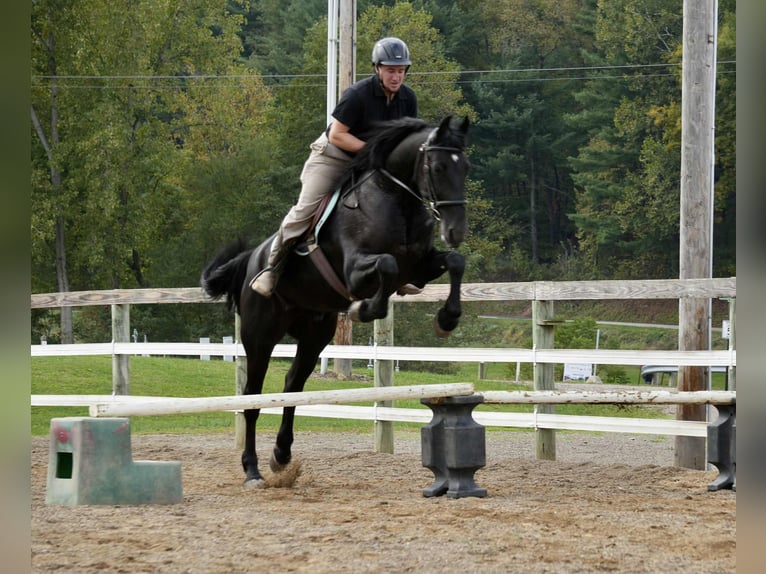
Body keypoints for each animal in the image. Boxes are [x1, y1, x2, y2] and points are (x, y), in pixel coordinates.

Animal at [200, 115, 470, 487]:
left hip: (316, 334)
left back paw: (281, 456)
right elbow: (385, 266)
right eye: (439, 167)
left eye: (466, 167)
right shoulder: (356, 270)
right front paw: (363, 309)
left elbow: (455, 262)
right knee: (253, 397)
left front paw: (447, 319)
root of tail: (250, 261)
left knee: (292, 385)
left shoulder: (418, 269)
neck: (396, 199)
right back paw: (252, 470)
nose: (456, 231)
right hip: (260, 336)